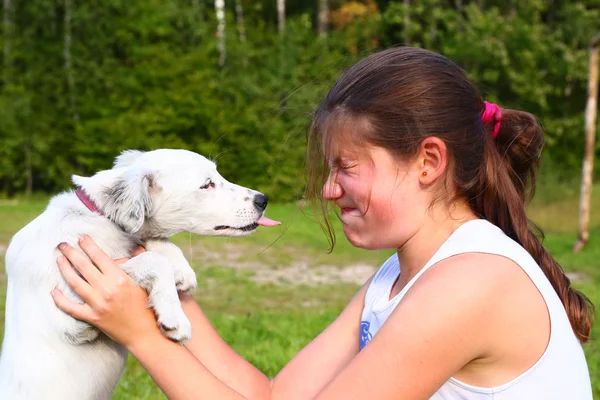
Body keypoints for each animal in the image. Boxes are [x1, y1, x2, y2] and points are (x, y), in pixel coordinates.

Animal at [0, 149, 278, 400]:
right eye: (207, 184)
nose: (263, 199)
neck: (99, 217)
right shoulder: (72, 312)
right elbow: (153, 260)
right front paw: (175, 316)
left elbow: (153, 240)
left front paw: (181, 270)